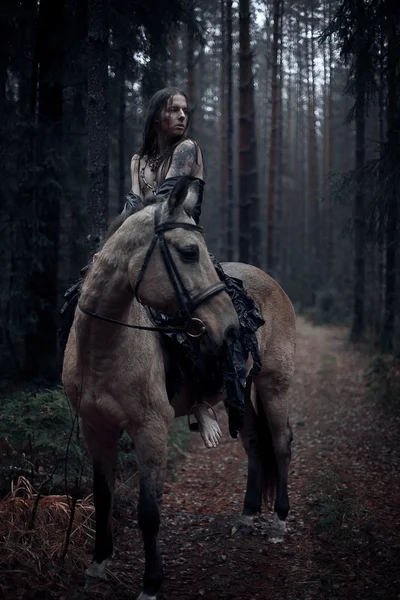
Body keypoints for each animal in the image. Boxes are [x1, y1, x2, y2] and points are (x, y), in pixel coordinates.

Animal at [61, 176, 294, 596]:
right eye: (188, 251)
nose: (230, 327)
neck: (104, 346)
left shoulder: (150, 430)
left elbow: (149, 512)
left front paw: (151, 583)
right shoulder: (94, 428)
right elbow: (102, 496)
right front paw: (98, 564)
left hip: (275, 385)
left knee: (282, 446)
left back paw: (279, 521)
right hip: (241, 397)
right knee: (255, 445)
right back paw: (247, 516)